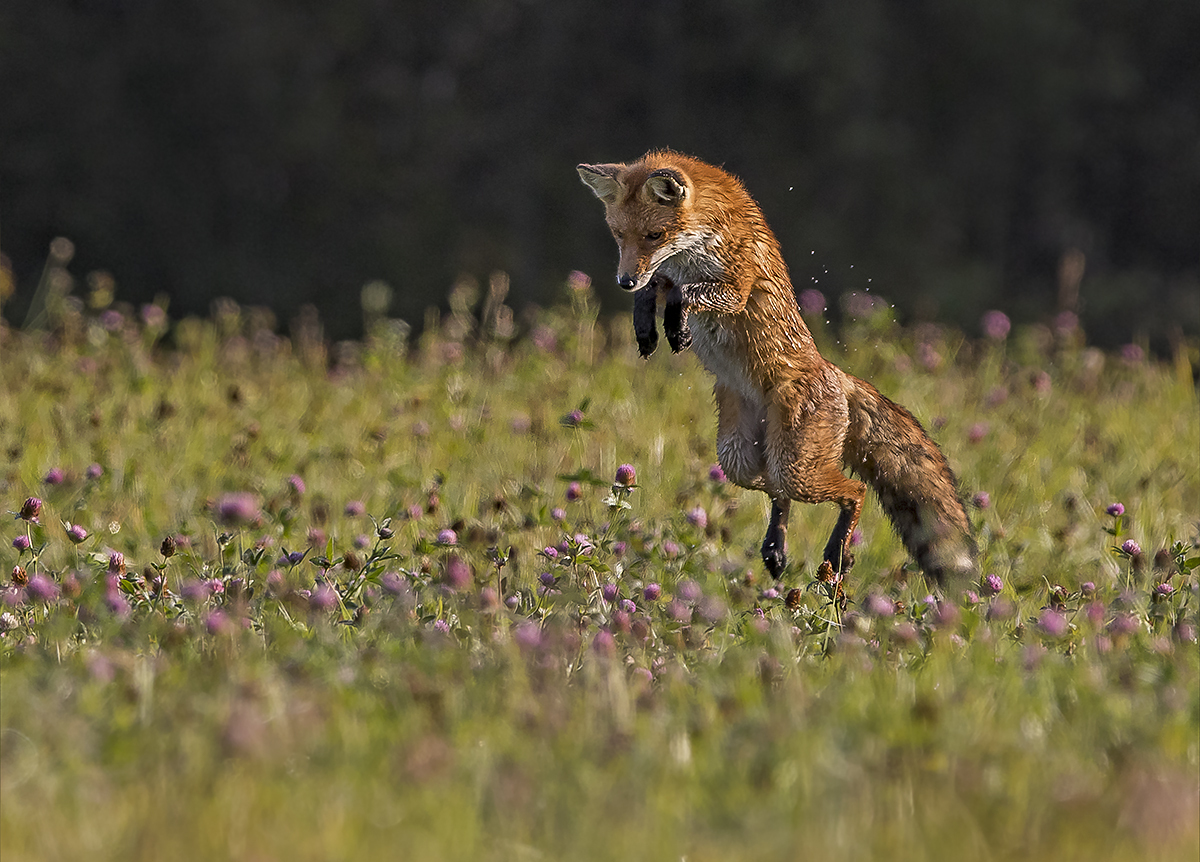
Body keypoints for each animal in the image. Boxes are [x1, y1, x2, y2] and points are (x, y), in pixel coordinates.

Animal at [576, 150, 979, 595]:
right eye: (619, 235)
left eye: (654, 235)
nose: (624, 280)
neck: (703, 236)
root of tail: (836, 373)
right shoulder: (666, 274)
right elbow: (656, 289)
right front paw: (647, 328)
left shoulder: (735, 285)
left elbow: (684, 294)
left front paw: (677, 328)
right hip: (740, 458)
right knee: (778, 493)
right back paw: (776, 549)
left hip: (794, 463)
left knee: (853, 491)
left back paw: (837, 553)